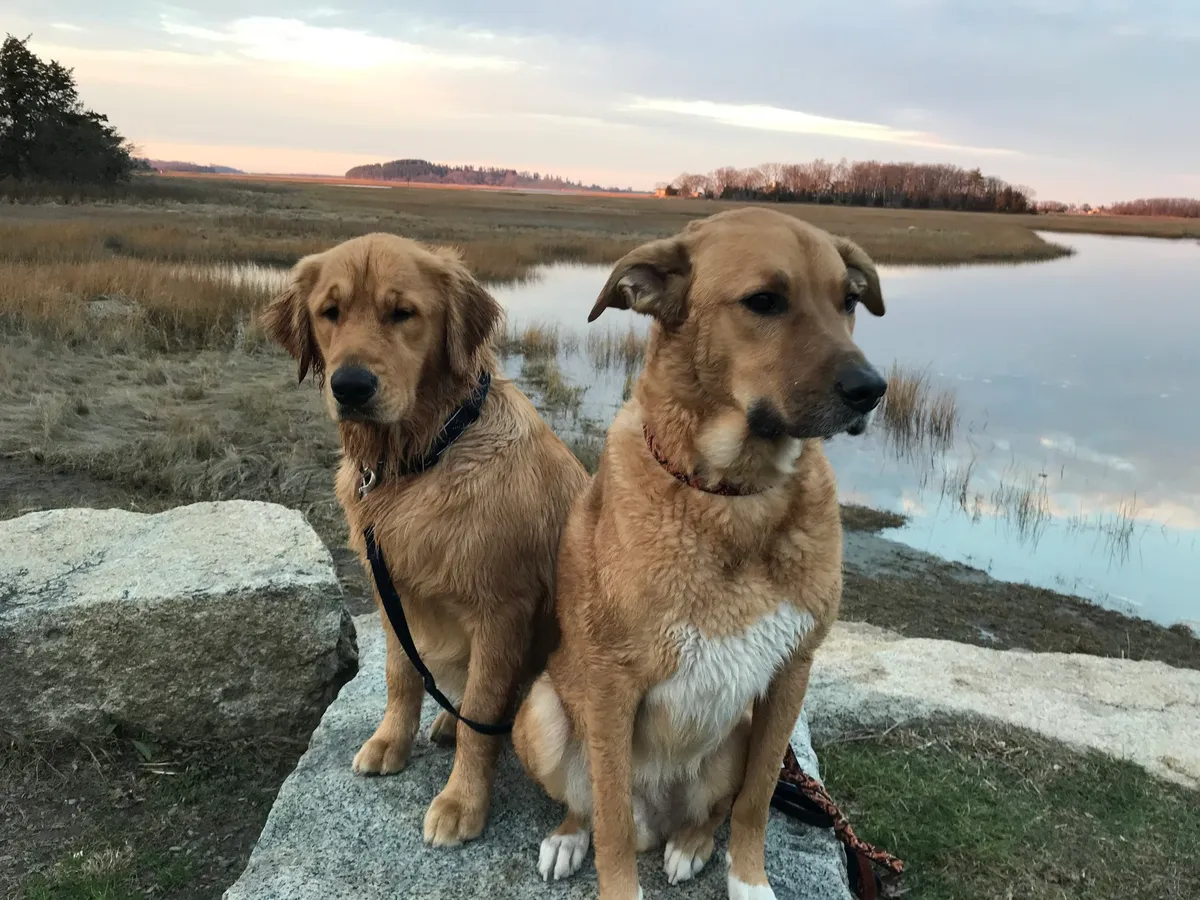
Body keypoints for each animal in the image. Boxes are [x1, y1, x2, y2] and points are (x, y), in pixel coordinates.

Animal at [260, 232, 589, 848]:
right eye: (330, 312)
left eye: (403, 313)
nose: (351, 386)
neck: (423, 456)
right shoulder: (393, 594)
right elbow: (401, 675)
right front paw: (392, 741)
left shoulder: (501, 612)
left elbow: (482, 716)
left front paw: (463, 802)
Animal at [512, 207, 887, 899]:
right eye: (764, 301)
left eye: (847, 300)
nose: (871, 390)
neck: (732, 495)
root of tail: (658, 815)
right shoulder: (611, 683)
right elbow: (609, 820)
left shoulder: (789, 677)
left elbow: (754, 803)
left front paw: (749, 881)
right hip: (543, 712)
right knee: (590, 806)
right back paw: (569, 837)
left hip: (734, 736)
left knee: (711, 811)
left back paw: (690, 842)